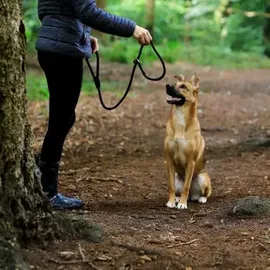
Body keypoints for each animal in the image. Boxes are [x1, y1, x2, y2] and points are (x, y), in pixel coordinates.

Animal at [163, 72, 212, 209]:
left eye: (183, 86)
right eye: (175, 84)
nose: (167, 85)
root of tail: (192, 195)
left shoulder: (191, 162)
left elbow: (186, 185)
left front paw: (182, 204)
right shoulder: (169, 161)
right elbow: (171, 186)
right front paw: (171, 201)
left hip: (202, 177)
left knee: (205, 193)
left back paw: (200, 198)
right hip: (176, 176)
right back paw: (177, 198)